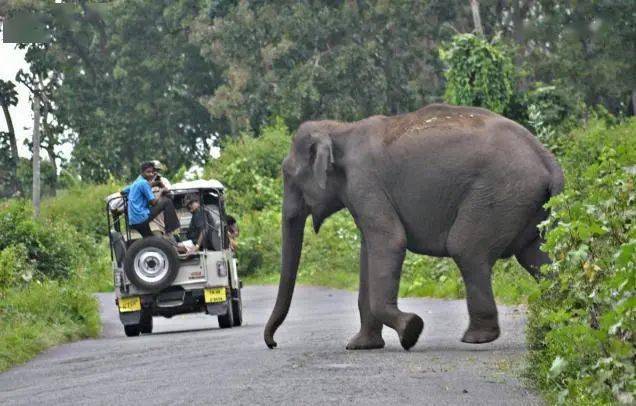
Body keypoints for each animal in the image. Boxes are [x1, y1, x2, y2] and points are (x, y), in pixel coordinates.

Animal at [264, 103, 568, 350]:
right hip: (527, 202)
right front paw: (361, 346)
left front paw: (411, 331)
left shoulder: (365, 182)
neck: (340, 129)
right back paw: (558, 321)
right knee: (535, 255)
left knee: (467, 249)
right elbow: (369, 253)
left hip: (500, 194)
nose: (273, 343)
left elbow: (390, 242)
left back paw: (477, 338)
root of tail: (547, 159)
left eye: (288, 175)